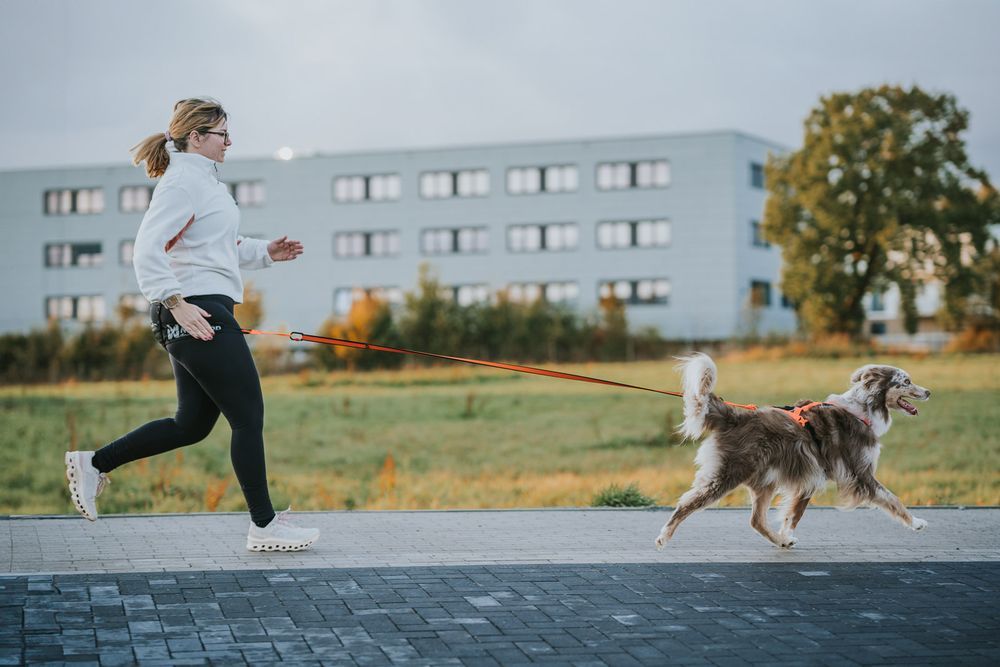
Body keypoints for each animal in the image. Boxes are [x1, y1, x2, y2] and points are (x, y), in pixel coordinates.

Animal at [656, 354, 928, 548]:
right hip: (725, 475)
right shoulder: (860, 474)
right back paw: (664, 536)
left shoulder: (811, 476)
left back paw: (781, 541)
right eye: (906, 381)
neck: (862, 409)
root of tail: (735, 416)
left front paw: (786, 534)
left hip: (765, 481)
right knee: (686, 503)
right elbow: (892, 499)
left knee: (756, 520)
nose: (929, 391)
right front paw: (916, 523)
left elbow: (793, 514)